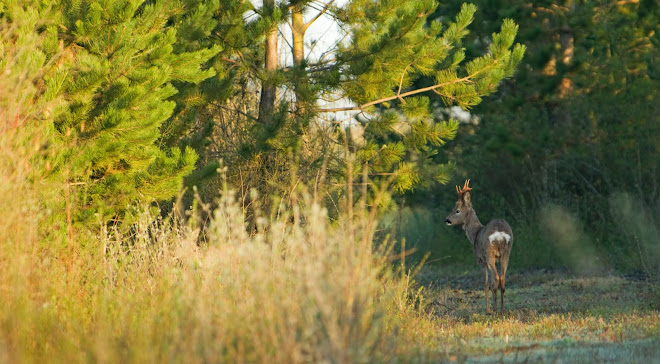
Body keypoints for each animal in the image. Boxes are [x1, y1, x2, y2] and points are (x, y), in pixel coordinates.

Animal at [446, 181, 512, 314]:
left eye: (457, 210)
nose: (447, 220)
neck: (475, 234)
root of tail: (500, 233)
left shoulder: (480, 260)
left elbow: (486, 284)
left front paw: (487, 310)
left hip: (489, 252)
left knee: (495, 279)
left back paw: (494, 310)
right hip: (507, 252)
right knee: (502, 278)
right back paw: (502, 310)